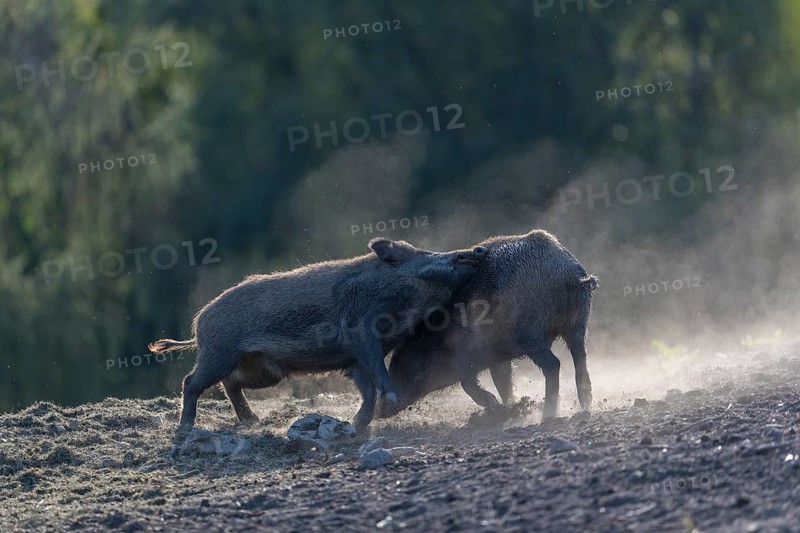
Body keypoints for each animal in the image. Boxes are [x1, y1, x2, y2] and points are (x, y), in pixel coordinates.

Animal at [148, 238, 488, 435]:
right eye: (416, 253)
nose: (478, 250)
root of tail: (199, 323)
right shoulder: (363, 332)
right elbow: (377, 373)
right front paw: (386, 399)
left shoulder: (353, 360)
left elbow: (367, 390)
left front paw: (356, 424)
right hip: (220, 352)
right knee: (192, 381)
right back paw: (186, 429)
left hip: (265, 370)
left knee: (230, 383)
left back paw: (252, 422)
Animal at [379, 229, 598, 421]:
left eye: (404, 358)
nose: (379, 412)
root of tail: (570, 274)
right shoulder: (498, 357)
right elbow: (502, 381)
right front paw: (511, 407)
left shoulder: (470, 357)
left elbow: (470, 385)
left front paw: (497, 406)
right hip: (579, 323)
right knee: (580, 356)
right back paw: (585, 403)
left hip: (532, 335)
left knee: (554, 364)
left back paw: (548, 415)